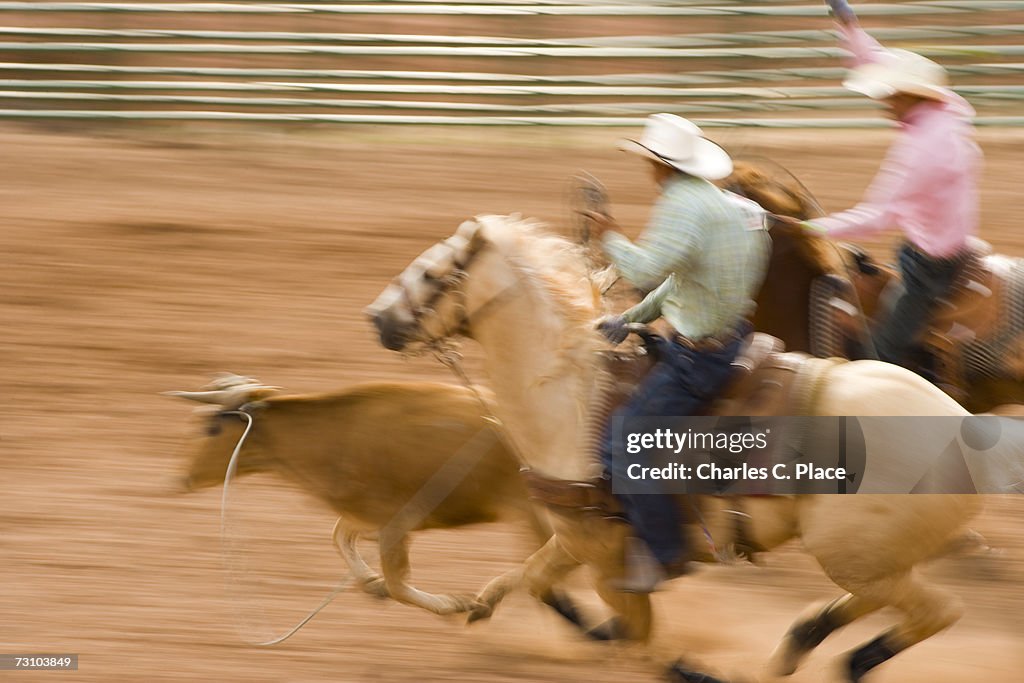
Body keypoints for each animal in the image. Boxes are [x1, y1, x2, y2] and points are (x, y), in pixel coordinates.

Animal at [368, 216, 991, 683]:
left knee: (938, 610)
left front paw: (689, 668)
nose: (376, 318)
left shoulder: (608, 556)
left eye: (430, 273)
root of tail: (965, 429)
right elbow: (532, 581)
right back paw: (799, 642)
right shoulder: (576, 536)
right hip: (867, 561)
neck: (571, 396)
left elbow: (640, 639)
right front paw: (485, 609)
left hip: (855, 554)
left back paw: (842, 659)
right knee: (885, 603)